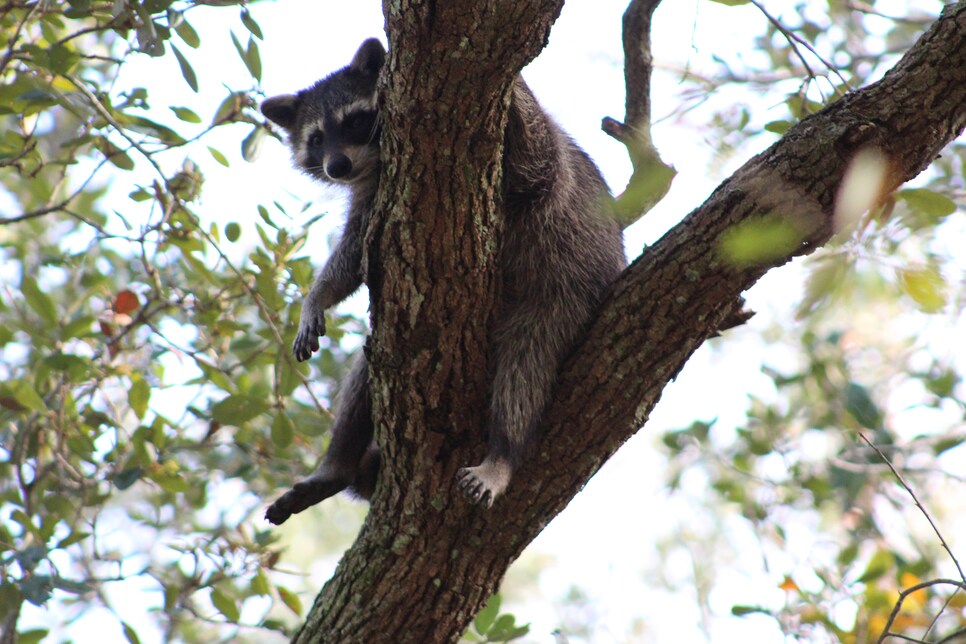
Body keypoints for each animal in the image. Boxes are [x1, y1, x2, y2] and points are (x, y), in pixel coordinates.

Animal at [262, 39, 628, 524]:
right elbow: (354, 255)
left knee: (524, 368)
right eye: (316, 138)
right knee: (367, 371)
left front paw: (516, 88)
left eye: (355, 121)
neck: (376, 166)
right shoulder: (373, 196)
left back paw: (503, 454)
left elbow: (540, 164)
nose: (337, 166)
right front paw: (316, 297)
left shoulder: (539, 170)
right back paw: (336, 464)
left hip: (569, 289)